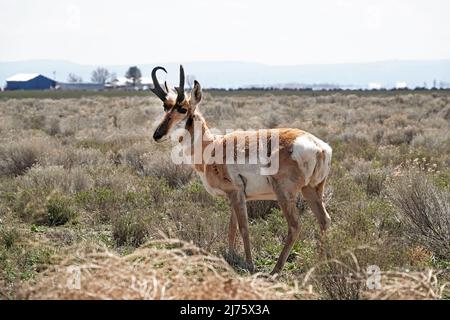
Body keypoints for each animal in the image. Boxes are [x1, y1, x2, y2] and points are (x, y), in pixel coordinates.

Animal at [151, 65, 330, 276]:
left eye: (183, 109)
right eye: (165, 106)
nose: (157, 134)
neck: (213, 146)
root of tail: (318, 146)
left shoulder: (236, 194)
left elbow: (244, 228)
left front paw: (250, 265)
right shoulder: (234, 197)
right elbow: (232, 228)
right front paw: (229, 258)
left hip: (285, 194)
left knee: (295, 226)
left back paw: (275, 271)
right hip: (312, 190)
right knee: (324, 220)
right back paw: (320, 265)